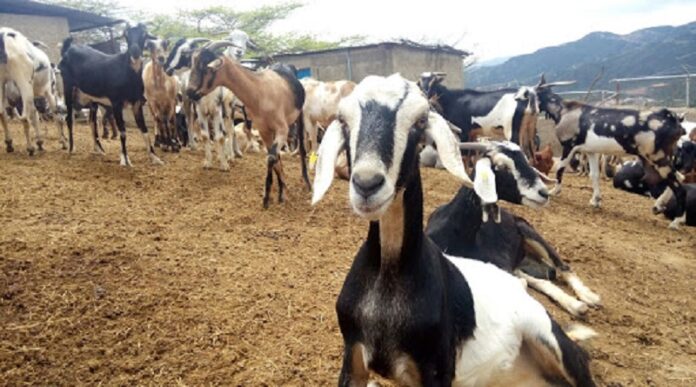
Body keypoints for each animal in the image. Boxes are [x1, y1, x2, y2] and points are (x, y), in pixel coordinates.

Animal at [58, 22, 162, 165]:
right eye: (126, 35)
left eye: (144, 34)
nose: (135, 52)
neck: (126, 72)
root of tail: (67, 50)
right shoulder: (116, 103)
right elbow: (123, 131)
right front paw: (125, 159)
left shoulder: (136, 103)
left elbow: (144, 129)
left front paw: (155, 157)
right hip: (68, 86)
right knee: (69, 118)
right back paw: (71, 148)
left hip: (90, 98)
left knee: (92, 122)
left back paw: (99, 149)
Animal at [312, 74, 596, 387]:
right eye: (344, 119)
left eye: (420, 121)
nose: (366, 184)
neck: (389, 271)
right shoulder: (353, 355)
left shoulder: (436, 370)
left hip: (551, 336)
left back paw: (584, 301)